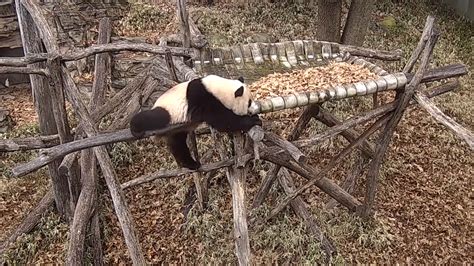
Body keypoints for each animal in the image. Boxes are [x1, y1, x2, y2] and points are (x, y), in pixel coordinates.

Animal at [130, 75, 262, 170]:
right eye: (249, 102)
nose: (253, 110)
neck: (220, 88)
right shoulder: (205, 99)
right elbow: (223, 121)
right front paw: (253, 120)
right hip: (168, 111)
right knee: (154, 117)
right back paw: (135, 127)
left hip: (175, 129)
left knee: (178, 144)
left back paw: (190, 164)